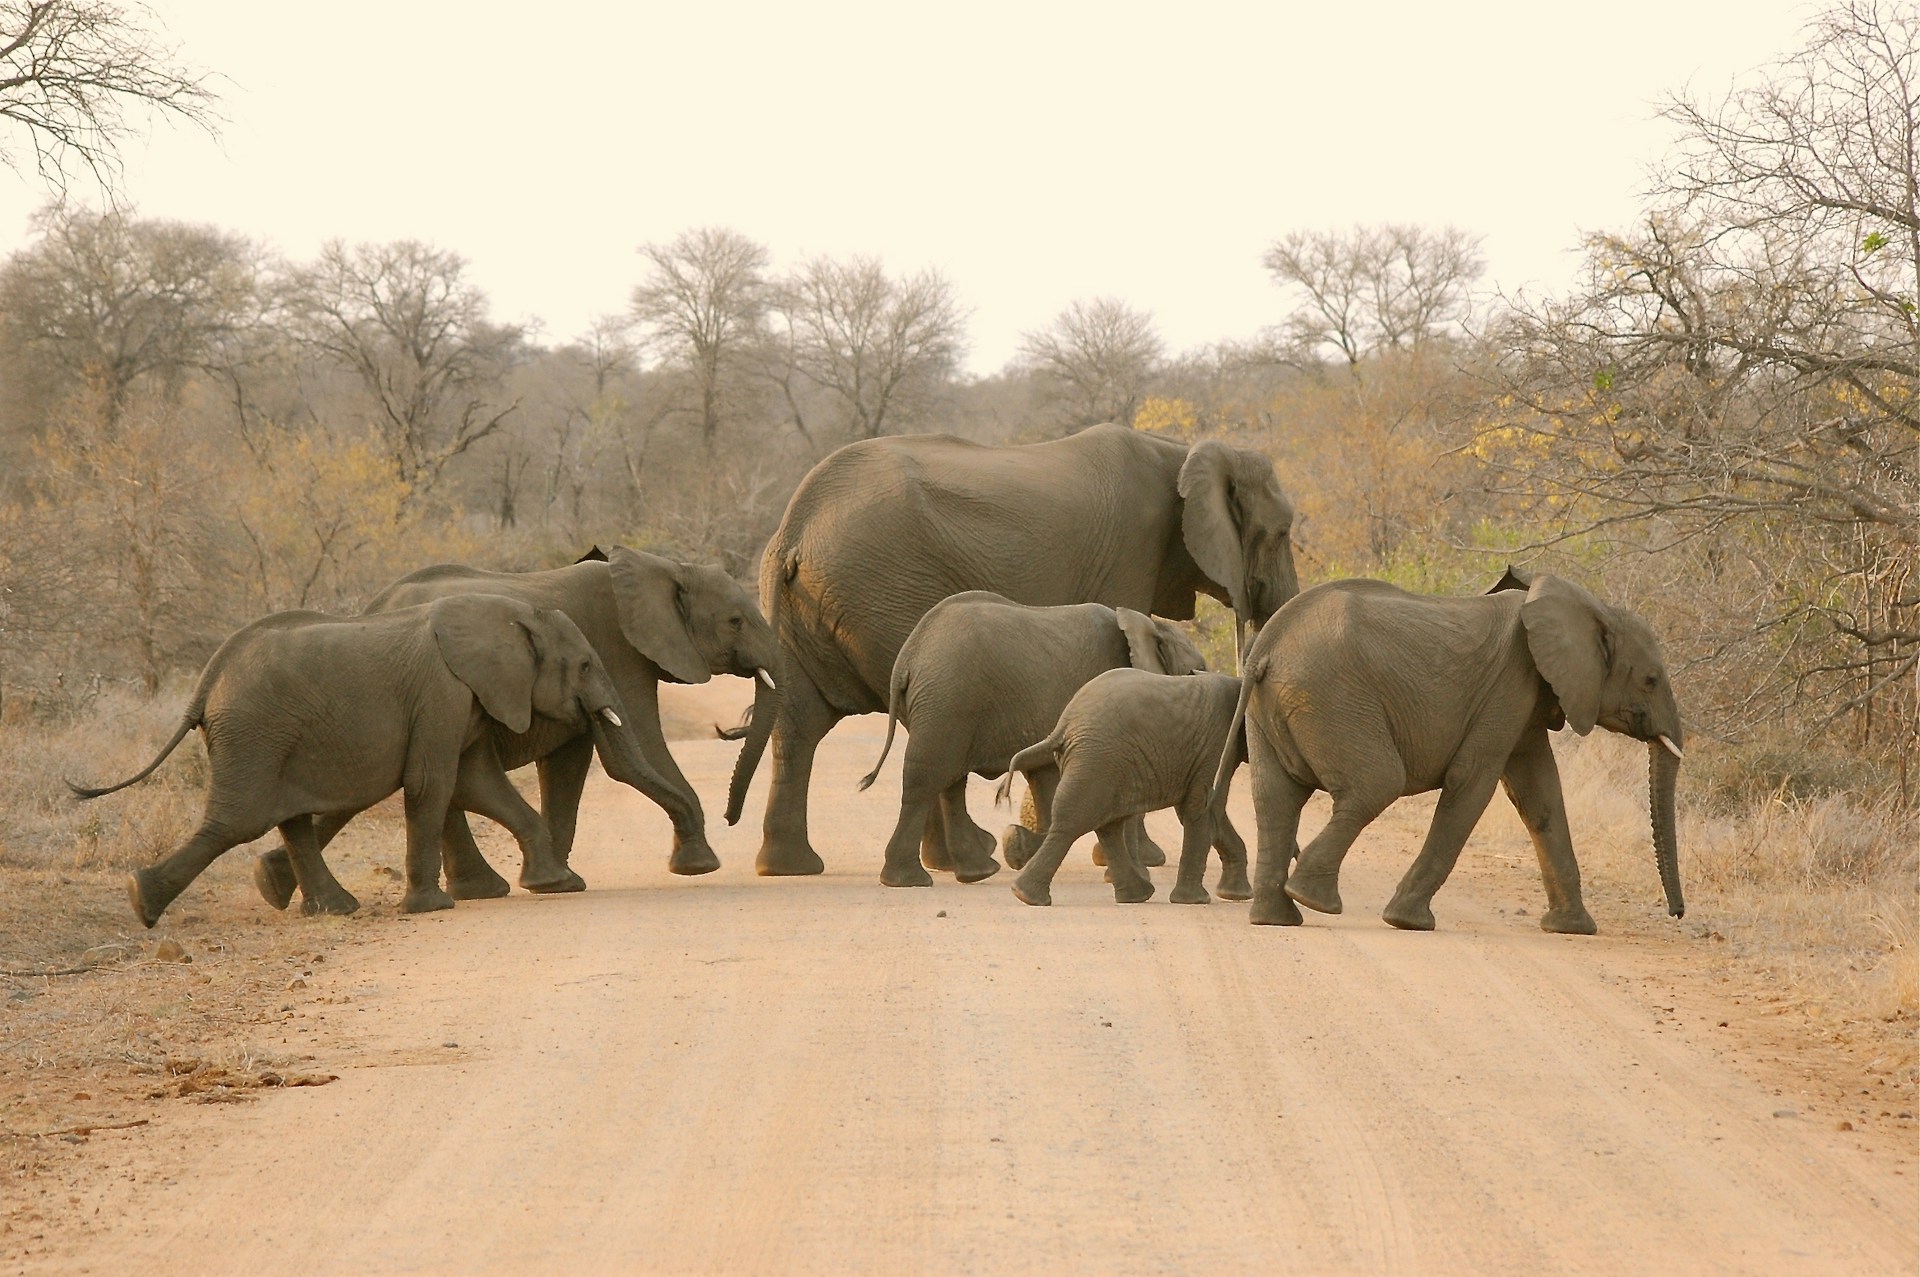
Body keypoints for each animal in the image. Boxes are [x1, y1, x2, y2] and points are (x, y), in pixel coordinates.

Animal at [70, 595, 682, 926]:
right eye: (585, 665)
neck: (504, 614)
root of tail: (206, 682)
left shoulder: (465, 698)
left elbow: (476, 782)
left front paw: (558, 886)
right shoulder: (441, 692)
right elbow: (434, 784)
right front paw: (433, 908)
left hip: (274, 739)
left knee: (289, 819)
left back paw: (332, 909)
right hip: (255, 735)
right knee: (237, 822)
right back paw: (141, 901)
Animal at [251, 544, 780, 912]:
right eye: (736, 621)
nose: (732, 819)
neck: (664, 567)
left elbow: (568, 769)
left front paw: (556, 877)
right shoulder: (619, 654)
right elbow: (636, 755)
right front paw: (699, 866)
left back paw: (271, 884)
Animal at [854, 591, 1209, 887]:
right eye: (1198, 670)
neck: (1150, 626)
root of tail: (909, 655)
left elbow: (1046, 781)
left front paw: (1021, 848)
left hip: (945, 707)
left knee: (948, 782)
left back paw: (977, 871)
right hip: (947, 700)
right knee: (927, 779)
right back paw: (910, 881)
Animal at [996, 668, 1250, 907]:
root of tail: (1062, 725)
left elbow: (1209, 813)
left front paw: (1237, 895)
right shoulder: (1216, 746)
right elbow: (1204, 808)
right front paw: (1197, 901)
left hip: (1106, 764)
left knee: (1107, 825)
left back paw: (1136, 896)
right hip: (1098, 759)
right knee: (1076, 822)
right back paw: (1027, 896)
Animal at [1218, 574, 1685, 933]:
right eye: (1650, 679)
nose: (1677, 913)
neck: (1591, 608)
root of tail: (1266, 646)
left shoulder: (1527, 701)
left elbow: (1540, 795)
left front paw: (1573, 929)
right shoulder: (1510, 685)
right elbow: (1472, 783)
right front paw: (1407, 922)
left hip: (1275, 706)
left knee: (1275, 798)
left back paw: (1277, 918)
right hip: (1332, 697)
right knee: (1376, 785)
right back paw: (1315, 901)